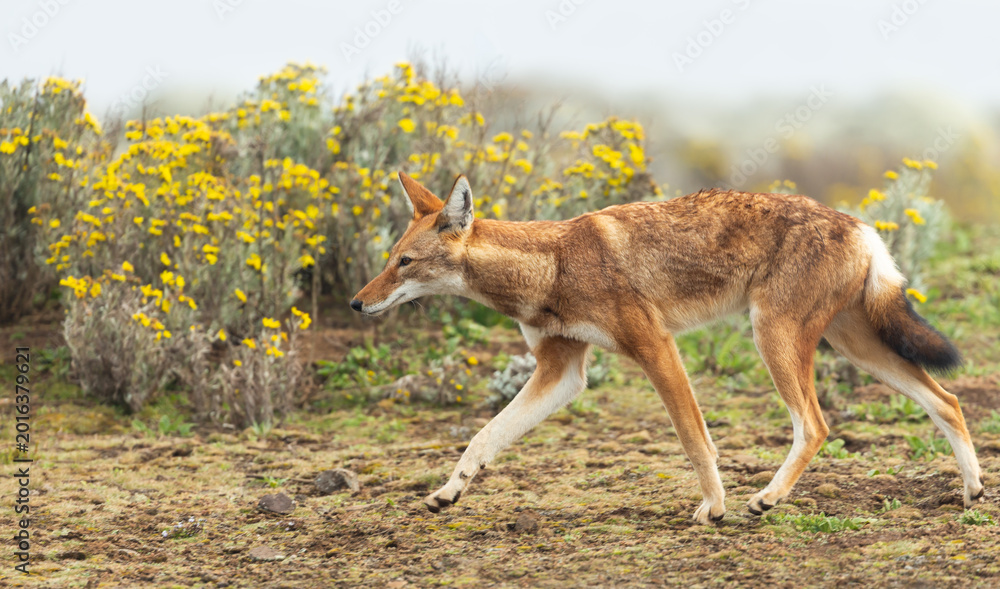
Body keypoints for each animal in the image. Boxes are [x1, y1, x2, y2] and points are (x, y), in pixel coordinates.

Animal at [350, 172, 984, 524]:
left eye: (404, 262)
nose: (356, 303)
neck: (552, 266)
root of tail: (860, 225)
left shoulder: (656, 349)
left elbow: (694, 439)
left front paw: (715, 508)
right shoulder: (561, 372)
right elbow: (482, 437)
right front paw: (447, 493)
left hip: (776, 340)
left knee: (817, 425)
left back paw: (765, 500)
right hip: (853, 348)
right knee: (948, 400)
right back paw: (973, 490)